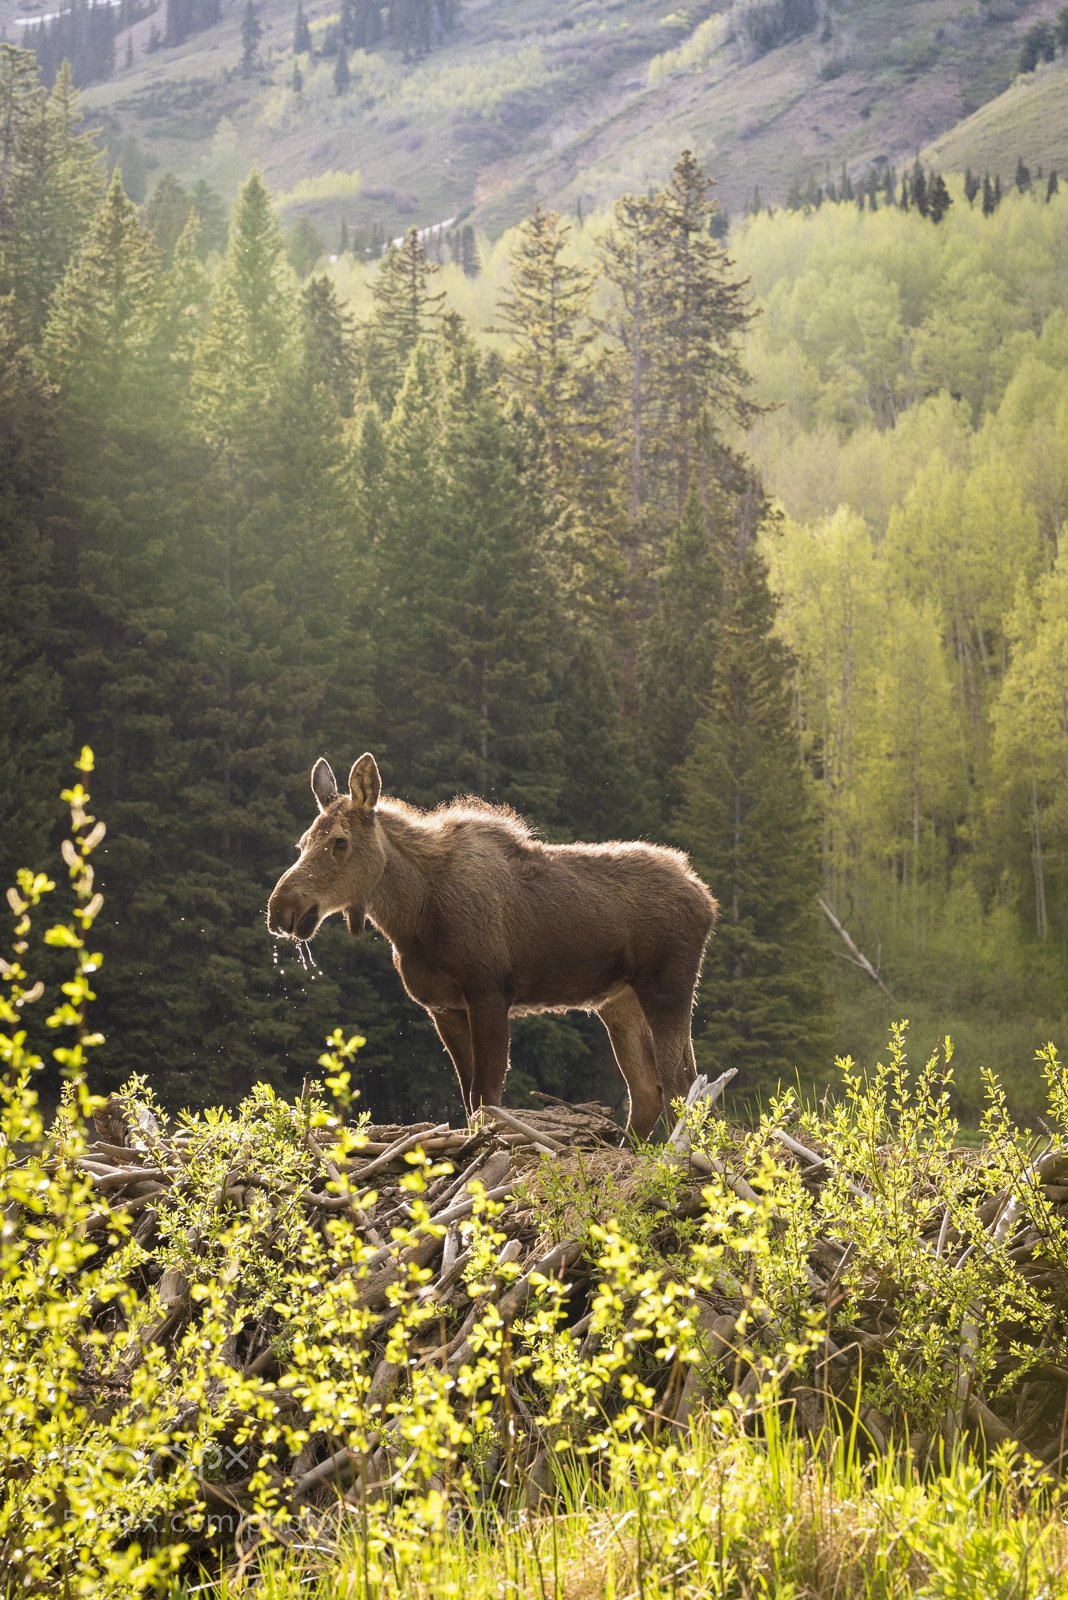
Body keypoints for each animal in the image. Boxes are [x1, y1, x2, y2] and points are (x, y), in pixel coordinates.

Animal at [266, 754, 718, 1138]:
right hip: (618, 1001)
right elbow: (469, 1098)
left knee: (681, 1082)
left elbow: (487, 1096)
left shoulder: (490, 992)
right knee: (648, 1089)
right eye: (303, 843)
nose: (281, 908)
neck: (412, 919)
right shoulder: (444, 1007)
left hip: (668, 987)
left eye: (339, 842)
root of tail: (705, 897)